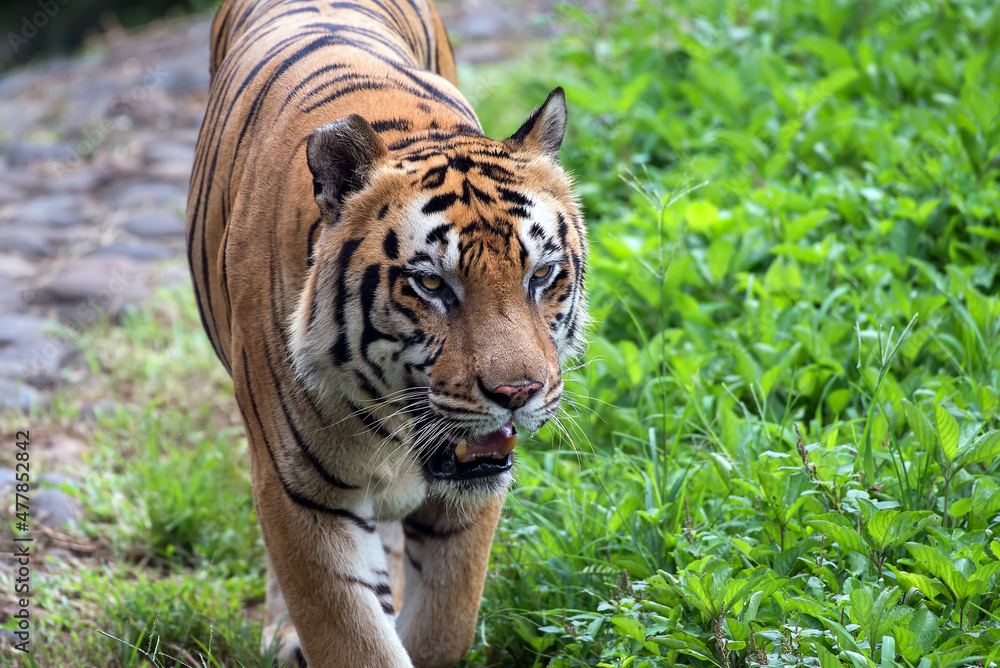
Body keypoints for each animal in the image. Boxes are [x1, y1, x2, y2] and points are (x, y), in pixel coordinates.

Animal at [185, 0, 587, 665]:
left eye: (542, 274)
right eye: (431, 285)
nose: (518, 395)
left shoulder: (468, 498)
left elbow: (443, 626)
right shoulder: (302, 499)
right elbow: (355, 638)